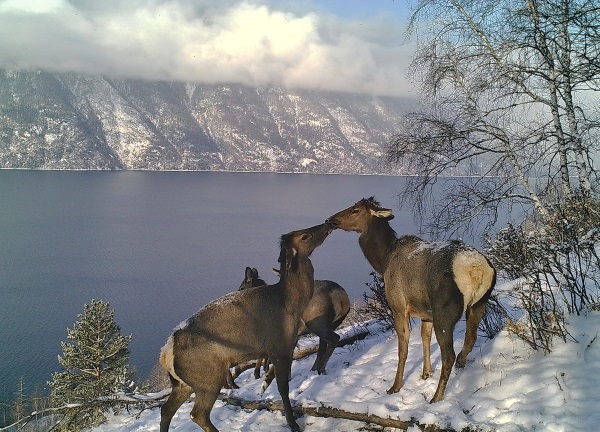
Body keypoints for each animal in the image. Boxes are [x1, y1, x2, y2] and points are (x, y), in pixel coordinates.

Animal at [159, 223, 332, 432]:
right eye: (304, 236)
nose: (328, 224)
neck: (292, 304)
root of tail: (166, 353)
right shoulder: (278, 347)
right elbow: (282, 388)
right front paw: (293, 424)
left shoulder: (286, 347)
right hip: (208, 377)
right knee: (197, 414)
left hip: (183, 383)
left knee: (166, 409)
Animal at [326, 197, 494, 404]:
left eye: (355, 210)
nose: (330, 220)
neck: (383, 260)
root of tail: (477, 270)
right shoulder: (426, 313)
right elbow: (424, 338)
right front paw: (425, 373)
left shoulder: (398, 307)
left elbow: (403, 348)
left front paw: (395, 387)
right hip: (479, 303)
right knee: (470, 339)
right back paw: (461, 364)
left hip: (445, 312)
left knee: (448, 355)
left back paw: (436, 397)